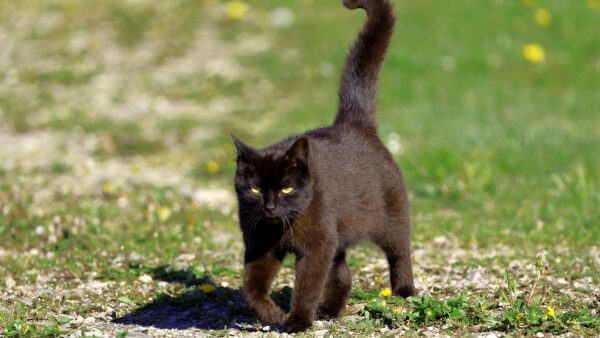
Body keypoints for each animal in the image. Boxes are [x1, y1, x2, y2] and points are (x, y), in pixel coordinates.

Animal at [232, 0, 414, 332]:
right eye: (254, 189)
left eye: (286, 188)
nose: (269, 207)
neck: (282, 227)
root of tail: (354, 123)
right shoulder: (260, 243)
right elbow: (252, 287)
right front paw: (272, 315)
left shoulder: (316, 247)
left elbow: (308, 285)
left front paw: (298, 320)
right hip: (336, 234)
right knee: (343, 272)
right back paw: (330, 310)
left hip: (391, 216)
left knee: (399, 251)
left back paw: (404, 291)